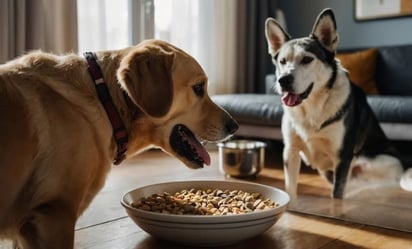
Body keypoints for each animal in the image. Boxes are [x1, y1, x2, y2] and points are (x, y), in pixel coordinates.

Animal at [266, 8, 410, 204]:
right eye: (282, 61)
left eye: (307, 59)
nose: (283, 80)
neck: (311, 106)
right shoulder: (291, 152)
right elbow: (290, 190)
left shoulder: (342, 157)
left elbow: (337, 195)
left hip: (373, 162)